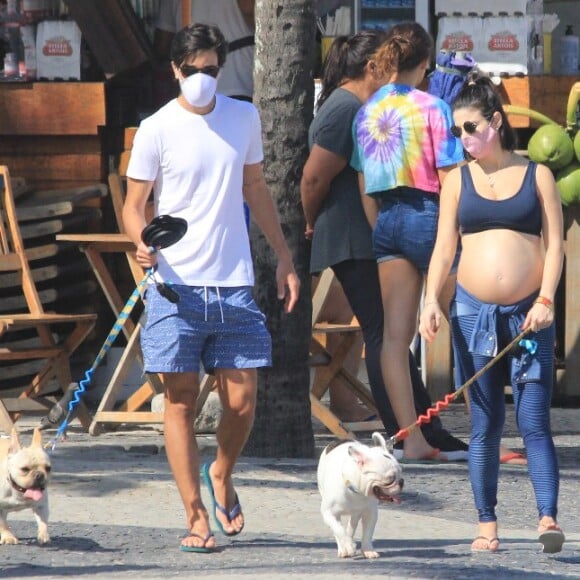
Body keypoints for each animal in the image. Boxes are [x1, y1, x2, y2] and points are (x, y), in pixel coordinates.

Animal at [318, 432, 404, 560]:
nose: (401, 482)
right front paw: (348, 546)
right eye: (390, 479)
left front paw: (368, 550)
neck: (356, 491)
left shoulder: (370, 514)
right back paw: (343, 548)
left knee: (352, 525)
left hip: (356, 513)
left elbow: (367, 533)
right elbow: (339, 530)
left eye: (401, 474)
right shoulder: (329, 513)